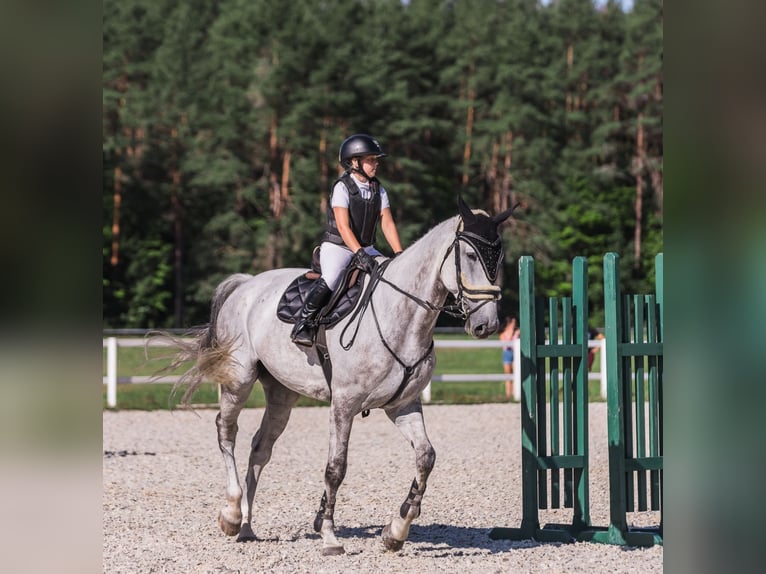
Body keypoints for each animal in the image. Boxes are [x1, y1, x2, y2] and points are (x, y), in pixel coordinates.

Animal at [167, 196, 516, 556]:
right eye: (471, 255)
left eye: (500, 256)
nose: (486, 325)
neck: (401, 315)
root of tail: (246, 284)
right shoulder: (344, 404)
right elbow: (336, 468)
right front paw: (330, 536)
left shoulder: (403, 405)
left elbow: (425, 458)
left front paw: (396, 531)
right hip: (239, 379)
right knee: (227, 432)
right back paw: (232, 515)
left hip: (282, 393)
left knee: (261, 448)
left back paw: (248, 526)